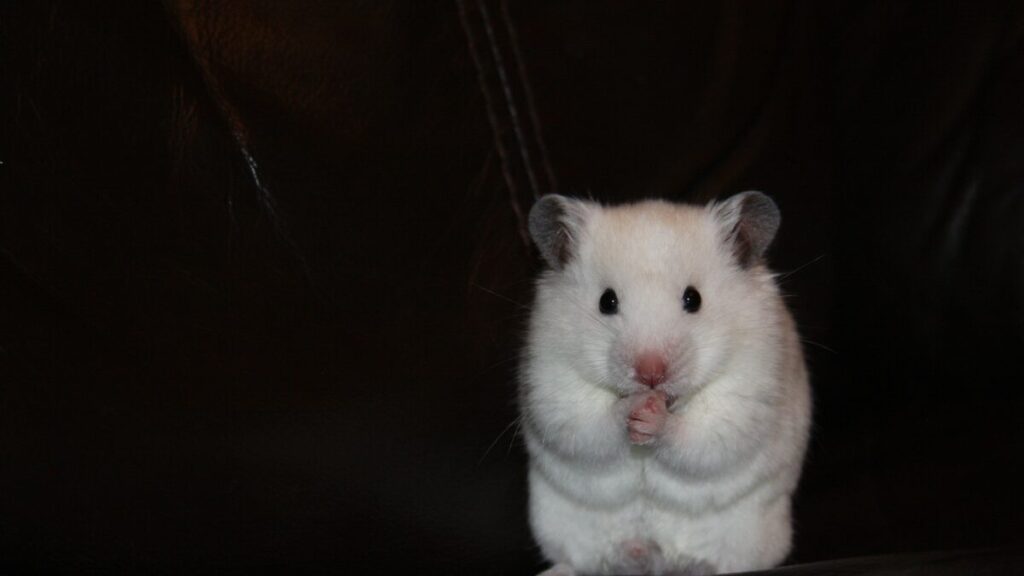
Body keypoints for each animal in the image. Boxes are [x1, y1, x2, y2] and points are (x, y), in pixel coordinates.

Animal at [520, 191, 811, 576]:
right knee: (580, 561)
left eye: (693, 298)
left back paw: (691, 563)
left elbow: (701, 438)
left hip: (753, 533)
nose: (650, 374)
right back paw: (626, 555)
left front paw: (652, 418)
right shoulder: (552, 388)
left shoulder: (747, 396)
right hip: (555, 520)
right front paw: (633, 408)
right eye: (606, 301)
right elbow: (589, 428)